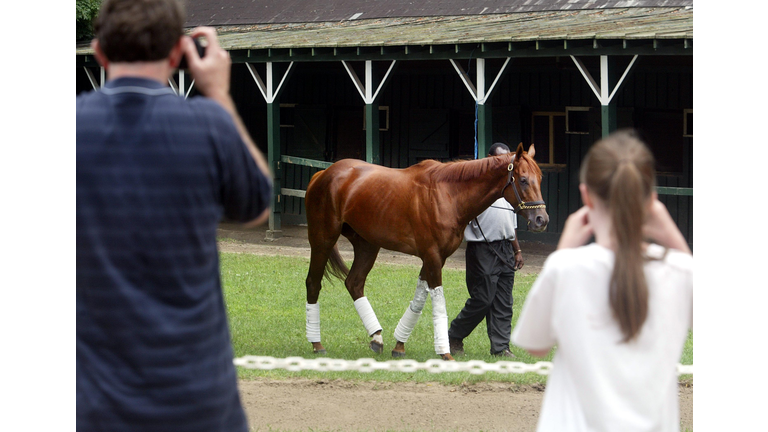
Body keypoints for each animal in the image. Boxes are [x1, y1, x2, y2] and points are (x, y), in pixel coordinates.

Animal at [304, 143, 548, 360]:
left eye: (540, 179)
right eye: (523, 180)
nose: (541, 220)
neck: (448, 194)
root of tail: (323, 174)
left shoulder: (436, 258)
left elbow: (419, 300)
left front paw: (399, 346)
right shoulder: (432, 256)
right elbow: (438, 301)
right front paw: (445, 352)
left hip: (367, 245)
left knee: (354, 283)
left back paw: (376, 337)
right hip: (323, 240)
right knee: (313, 283)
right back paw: (317, 344)